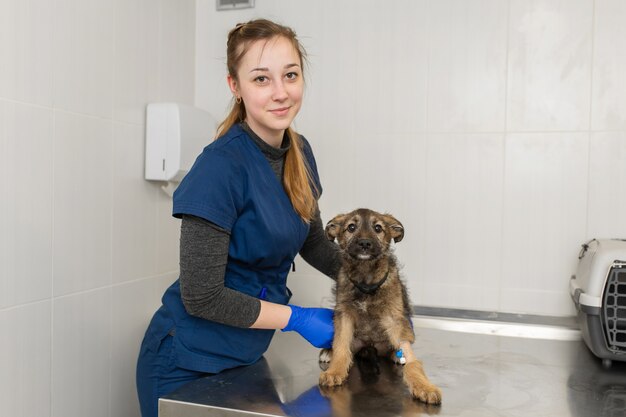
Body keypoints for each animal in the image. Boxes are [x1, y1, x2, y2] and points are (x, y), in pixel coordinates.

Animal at [320, 208, 442, 404]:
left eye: (378, 228)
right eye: (351, 227)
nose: (364, 243)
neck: (366, 278)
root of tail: (370, 347)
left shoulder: (394, 317)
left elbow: (411, 360)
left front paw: (423, 385)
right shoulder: (344, 314)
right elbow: (341, 345)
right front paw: (334, 371)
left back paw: (396, 355)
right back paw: (327, 352)